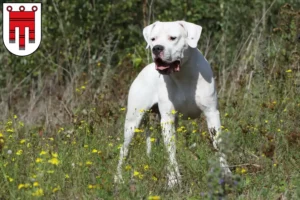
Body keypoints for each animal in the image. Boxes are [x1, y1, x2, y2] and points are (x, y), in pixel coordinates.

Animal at [115, 20, 232, 188]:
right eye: (153, 39)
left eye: (173, 38)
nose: (157, 48)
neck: (183, 74)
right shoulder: (168, 119)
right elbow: (171, 152)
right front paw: (173, 181)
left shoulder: (212, 113)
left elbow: (218, 144)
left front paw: (226, 174)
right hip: (132, 122)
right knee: (124, 150)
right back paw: (118, 178)